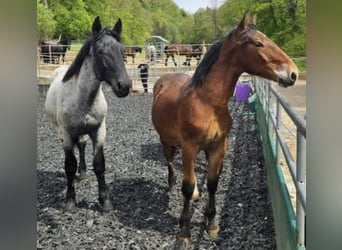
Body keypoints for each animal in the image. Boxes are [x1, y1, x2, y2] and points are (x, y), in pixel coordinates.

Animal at [44, 15, 132, 212]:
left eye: (122, 50)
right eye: (100, 51)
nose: (124, 86)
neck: (82, 98)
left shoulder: (98, 131)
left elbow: (99, 164)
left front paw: (105, 201)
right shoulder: (68, 134)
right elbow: (69, 166)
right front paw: (70, 202)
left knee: (82, 145)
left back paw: (83, 173)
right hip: (62, 133)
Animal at [151, 10, 298, 243]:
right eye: (257, 43)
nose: (293, 74)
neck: (207, 102)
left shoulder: (218, 146)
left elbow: (212, 183)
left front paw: (212, 224)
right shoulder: (190, 147)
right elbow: (187, 186)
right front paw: (184, 231)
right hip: (166, 140)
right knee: (171, 162)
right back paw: (171, 186)